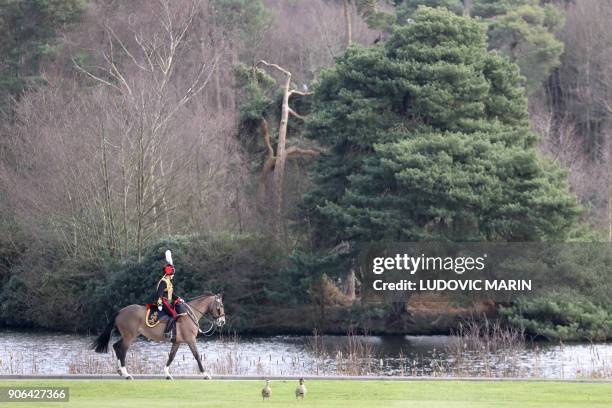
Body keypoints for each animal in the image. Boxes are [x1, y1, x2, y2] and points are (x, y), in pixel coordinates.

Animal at [89, 294, 226, 380]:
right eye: (220, 307)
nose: (222, 321)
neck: (189, 314)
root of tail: (121, 311)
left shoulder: (177, 342)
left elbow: (171, 356)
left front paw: (167, 374)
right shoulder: (190, 340)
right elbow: (197, 356)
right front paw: (205, 374)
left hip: (129, 335)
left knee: (116, 346)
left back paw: (120, 371)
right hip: (130, 336)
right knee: (122, 350)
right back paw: (126, 373)